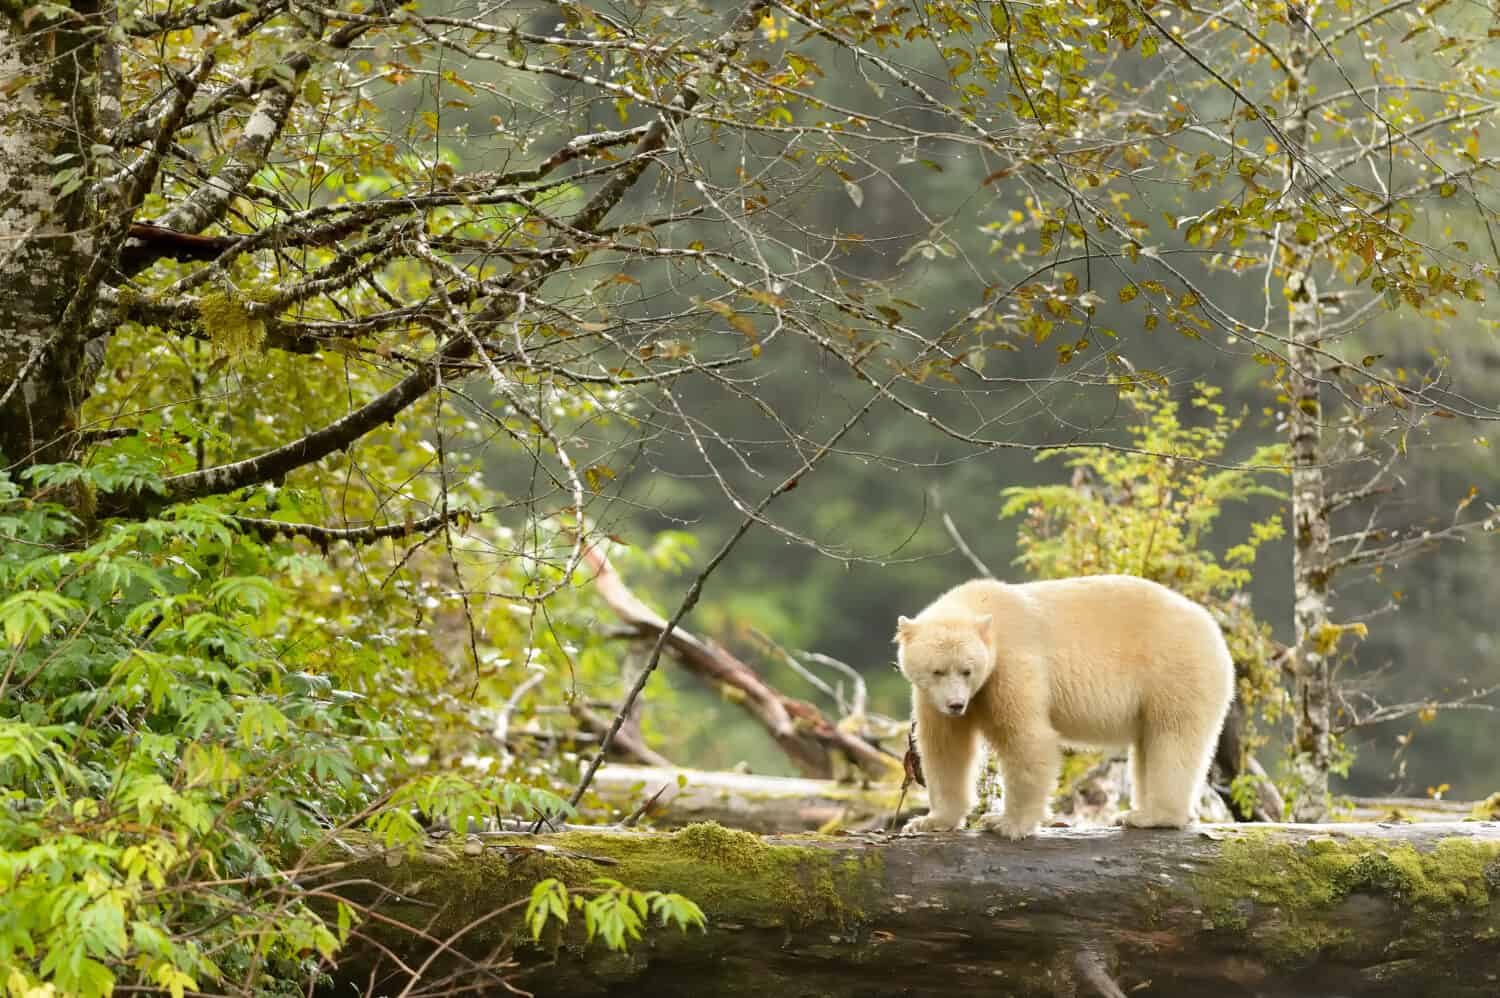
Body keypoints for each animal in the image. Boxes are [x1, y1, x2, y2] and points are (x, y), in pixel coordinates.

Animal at [900, 573, 1230, 834]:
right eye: (937, 671)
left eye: (967, 670)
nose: (956, 705)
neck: (984, 607)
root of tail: (1214, 630)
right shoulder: (932, 697)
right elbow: (945, 748)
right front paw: (928, 821)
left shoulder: (1011, 663)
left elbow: (1027, 738)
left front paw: (1005, 823)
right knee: (1149, 743)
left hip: (1174, 669)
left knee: (1172, 737)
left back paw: (1152, 816)